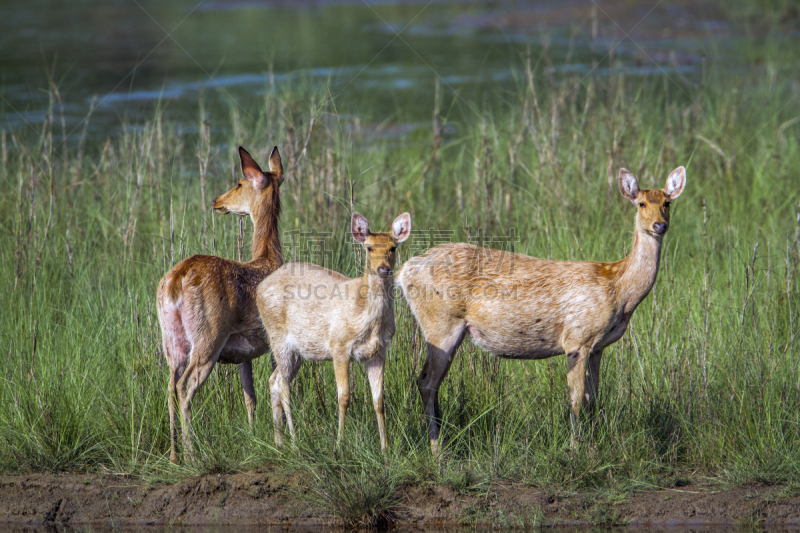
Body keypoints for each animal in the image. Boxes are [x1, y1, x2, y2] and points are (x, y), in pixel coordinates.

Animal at [156, 145, 284, 462]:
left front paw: (253, 437)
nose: (217, 200)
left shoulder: (244, 353)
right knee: (184, 385)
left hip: (170, 338)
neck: (269, 258)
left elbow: (250, 396)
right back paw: (192, 455)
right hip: (209, 335)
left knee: (169, 385)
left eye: (238, 183)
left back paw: (174, 455)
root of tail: (175, 281)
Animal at [258, 212, 412, 448]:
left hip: (298, 351)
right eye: (369, 248)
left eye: (393, 247)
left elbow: (379, 400)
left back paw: (279, 442)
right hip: (278, 337)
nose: (383, 269)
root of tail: (259, 288)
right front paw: (339, 444)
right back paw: (294, 441)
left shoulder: (378, 352)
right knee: (282, 384)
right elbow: (344, 397)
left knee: (273, 380)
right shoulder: (339, 345)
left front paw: (385, 447)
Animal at [396, 166, 684, 454]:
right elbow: (576, 399)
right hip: (441, 322)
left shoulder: (598, 346)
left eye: (667, 203)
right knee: (426, 381)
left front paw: (592, 446)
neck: (618, 289)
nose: (660, 225)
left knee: (431, 382)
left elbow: (592, 398)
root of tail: (405, 270)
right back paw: (437, 450)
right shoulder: (577, 338)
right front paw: (575, 450)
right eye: (641, 203)